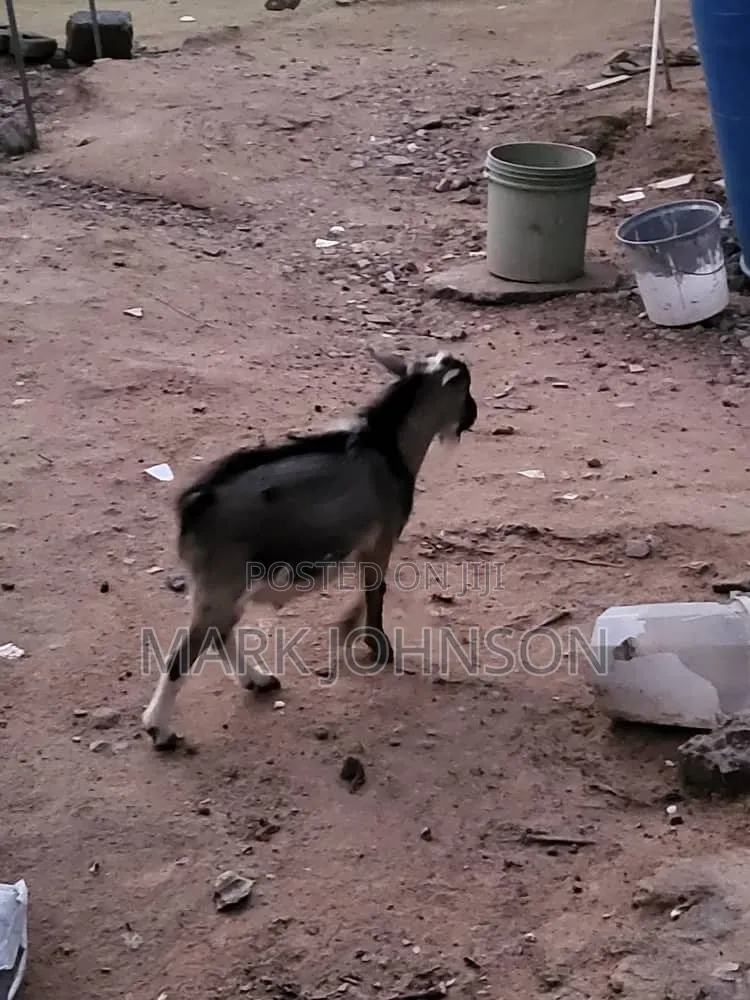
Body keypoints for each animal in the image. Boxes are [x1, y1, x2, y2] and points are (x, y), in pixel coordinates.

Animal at [142, 349, 478, 750]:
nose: (473, 413)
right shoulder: (381, 539)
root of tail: (196, 502)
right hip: (222, 582)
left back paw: (258, 680)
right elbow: (376, 590)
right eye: (466, 387)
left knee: (218, 635)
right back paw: (160, 730)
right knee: (186, 652)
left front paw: (347, 629)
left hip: (222, 587)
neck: (387, 444)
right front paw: (377, 647)